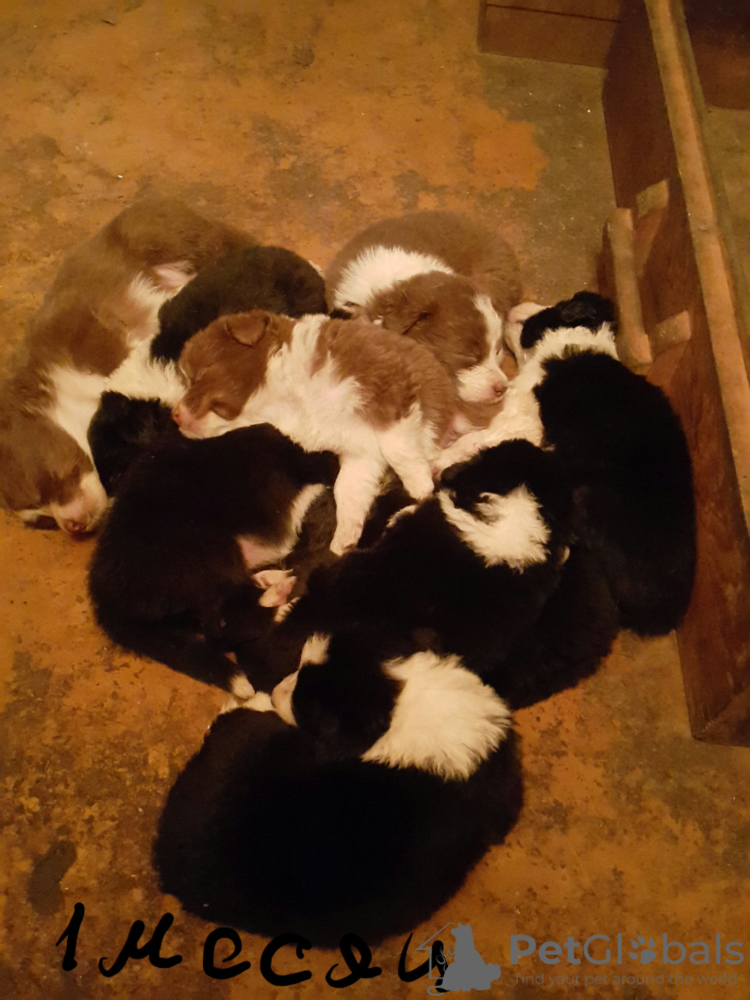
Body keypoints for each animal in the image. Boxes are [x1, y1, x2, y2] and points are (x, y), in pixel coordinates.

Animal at [173, 309, 474, 554]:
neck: (284, 399)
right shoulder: (360, 454)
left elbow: (397, 449)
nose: (174, 414)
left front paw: (419, 486)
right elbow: (348, 490)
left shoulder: (392, 390)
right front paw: (344, 538)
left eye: (198, 375)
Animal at [437, 291, 696, 636]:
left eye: (555, 307)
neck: (576, 339)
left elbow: (480, 437)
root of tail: (664, 619)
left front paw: (441, 458)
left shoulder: (521, 417)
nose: (515, 308)